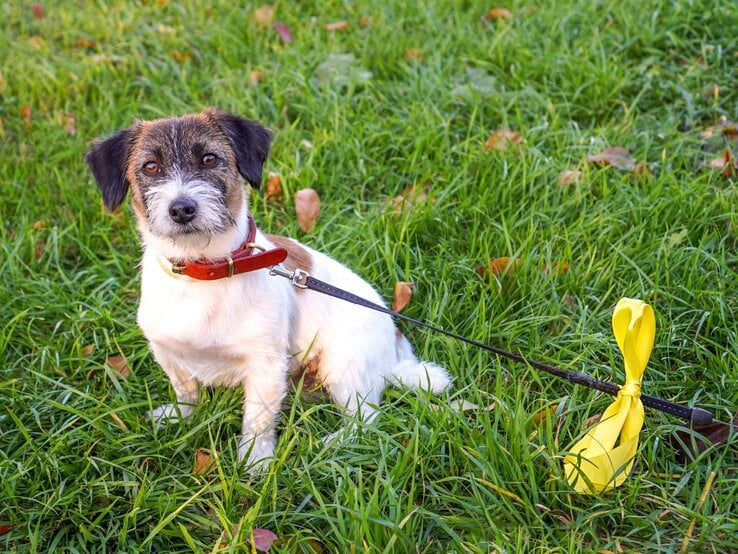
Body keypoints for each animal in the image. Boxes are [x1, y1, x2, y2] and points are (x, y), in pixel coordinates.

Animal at [86, 109, 448, 470]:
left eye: (209, 159)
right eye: (150, 167)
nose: (182, 208)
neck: (203, 273)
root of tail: (394, 348)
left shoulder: (266, 364)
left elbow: (257, 417)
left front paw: (255, 463)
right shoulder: (167, 350)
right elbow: (186, 390)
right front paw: (180, 418)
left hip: (344, 366)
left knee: (365, 419)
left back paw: (333, 444)